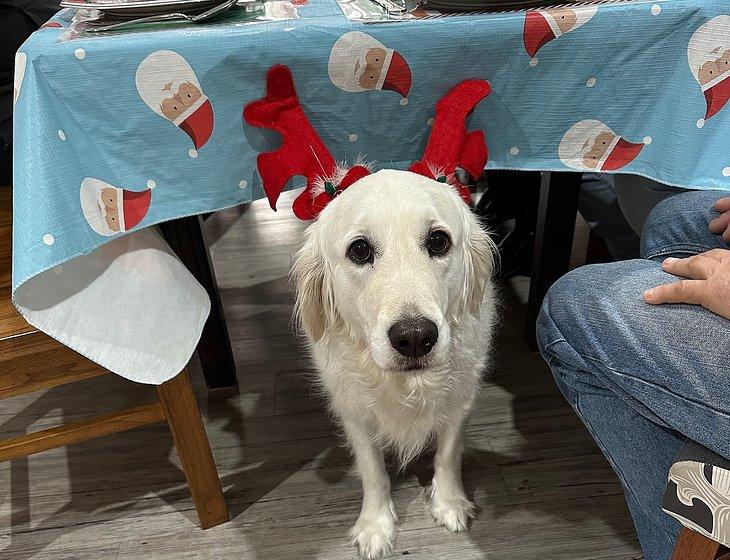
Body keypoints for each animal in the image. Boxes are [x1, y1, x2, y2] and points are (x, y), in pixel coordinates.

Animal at [290, 168, 494, 556]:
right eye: (359, 250)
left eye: (438, 241)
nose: (414, 337)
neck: (406, 385)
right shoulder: (354, 412)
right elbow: (373, 473)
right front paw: (375, 525)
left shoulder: (460, 400)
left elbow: (448, 454)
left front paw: (449, 503)